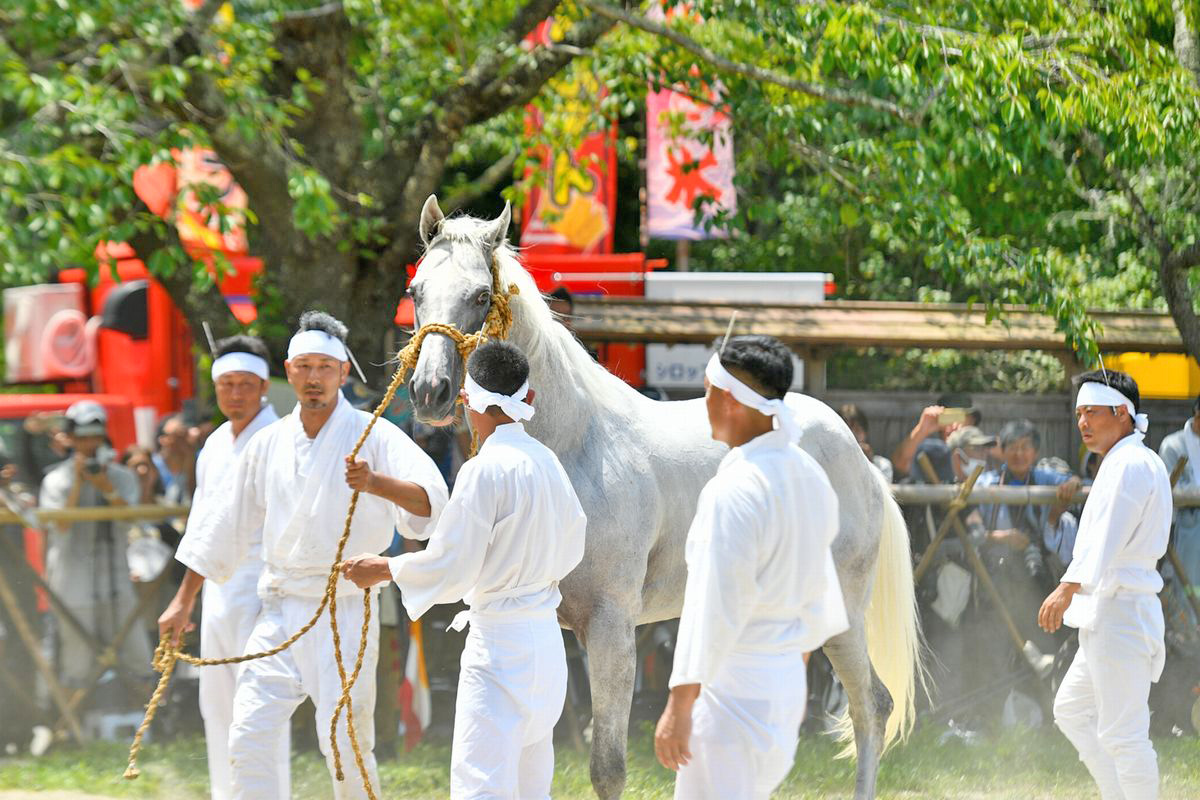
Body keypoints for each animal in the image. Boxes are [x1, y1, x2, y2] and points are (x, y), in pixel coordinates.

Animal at [403, 195, 916, 800]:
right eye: (416, 291)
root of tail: (859, 460)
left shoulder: (612, 630)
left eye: (481, 296)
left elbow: (608, 768)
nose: (429, 392)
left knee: (871, 706)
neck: (575, 446)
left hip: (839, 613)